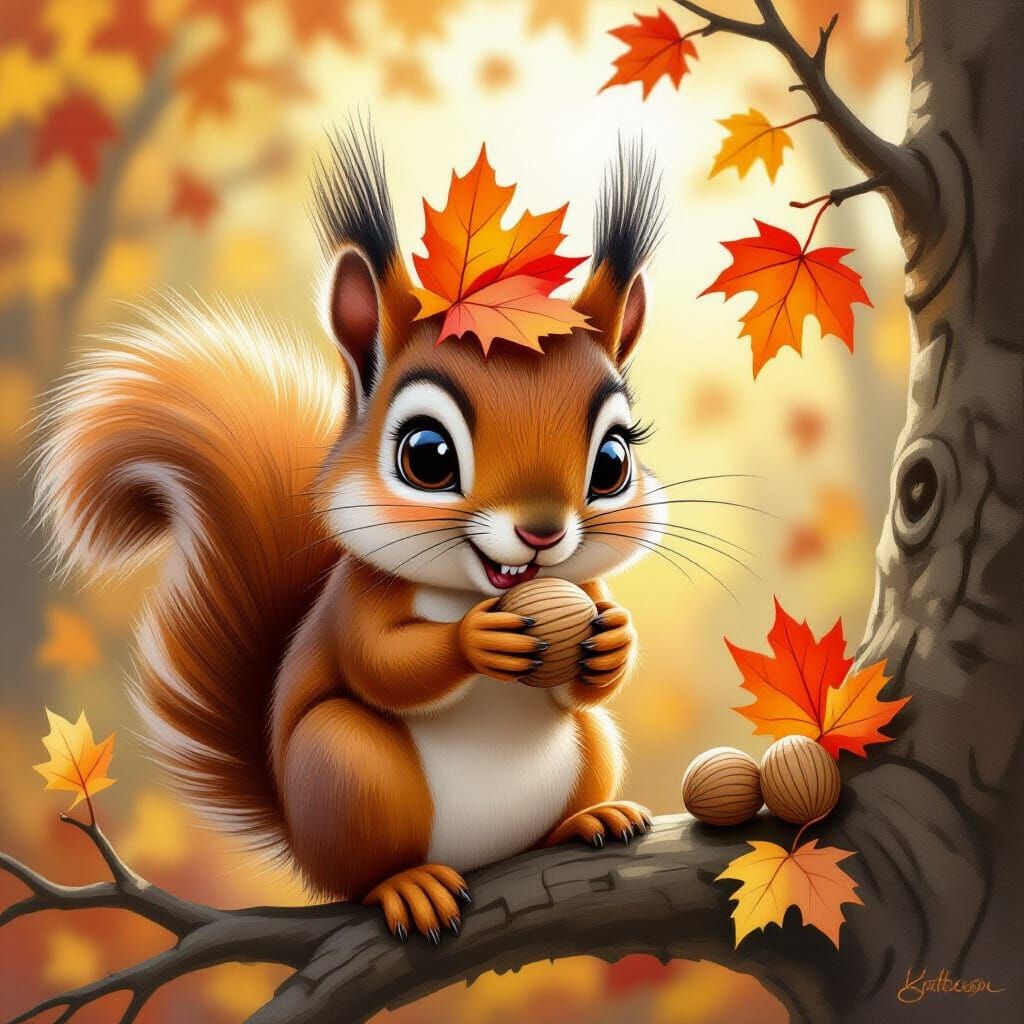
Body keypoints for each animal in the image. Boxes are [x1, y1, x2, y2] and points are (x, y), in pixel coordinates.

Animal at [34, 124, 667, 944]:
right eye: (427, 455)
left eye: (614, 462)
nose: (540, 533)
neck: (472, 589)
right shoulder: (356, 597)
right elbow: (380, 663)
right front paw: (478, 642)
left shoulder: (580, 586)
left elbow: (591, 670)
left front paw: (613, 637)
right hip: (347, 768)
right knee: (362, 865)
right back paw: (408, 886)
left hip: (588, 749)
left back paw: (591, 820)